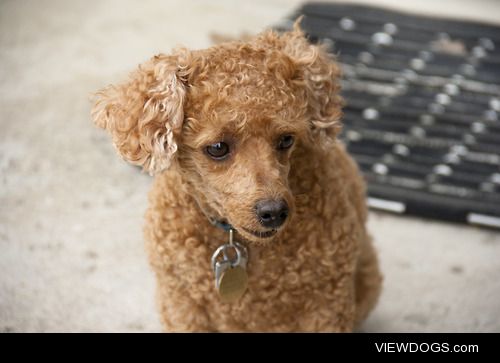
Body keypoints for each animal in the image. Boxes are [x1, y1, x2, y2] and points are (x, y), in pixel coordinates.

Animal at [92, 23, 380, 332]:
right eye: (218, 148)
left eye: (286, 139)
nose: (274, 212)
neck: (234, 239)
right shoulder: (182, 305)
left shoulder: (326, 305)